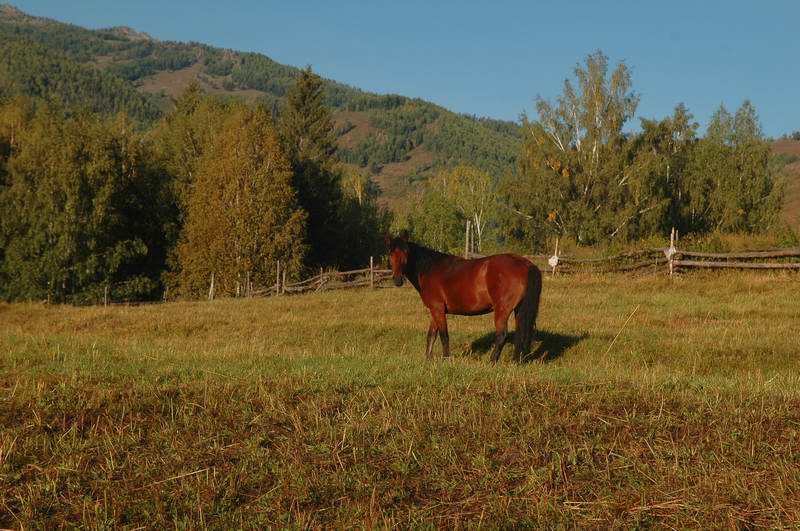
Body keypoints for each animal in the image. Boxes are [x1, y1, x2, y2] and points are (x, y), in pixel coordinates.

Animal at [384, 233, 540, 366]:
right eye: (390, 253)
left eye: (406, 252)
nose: (397, 280)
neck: (430, 269)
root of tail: (525, 264)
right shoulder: (435, 311)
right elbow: (431, 336)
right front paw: (427, 360)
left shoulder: (438, 309)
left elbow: (444, 336)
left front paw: (446, 360)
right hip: (519, 309)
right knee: (520, 334)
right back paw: (516, 361)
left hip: (502, 310)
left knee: (502, 335)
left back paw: (492, 362)